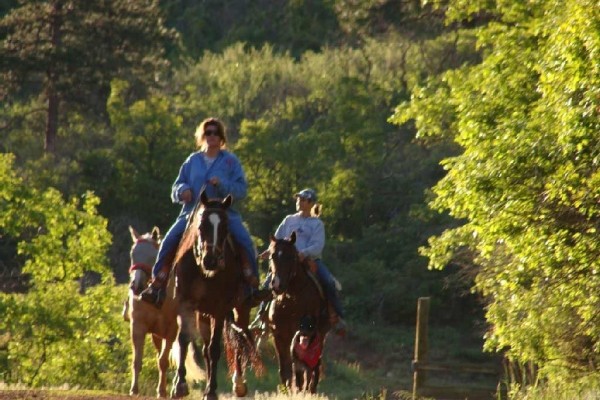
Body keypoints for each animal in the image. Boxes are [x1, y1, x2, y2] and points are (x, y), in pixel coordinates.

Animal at [123, 227, 204, 398]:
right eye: (132, 254)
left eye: (153, 256)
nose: (136, 285)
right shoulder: (137, 326)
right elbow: (137, 360)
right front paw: (134, 389)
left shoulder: (170, 330)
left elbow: (163, 361)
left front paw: (161, 391)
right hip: (156, 335)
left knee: (179, 354)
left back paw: (176, 388)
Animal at [170, 192, 262, 398]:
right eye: (201, 225)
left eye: (225, 227)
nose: (211, 260)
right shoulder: (185, 304)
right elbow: (184, 339)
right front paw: (180, 385)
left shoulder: (219, 309)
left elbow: (215, 349)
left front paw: (211, 390)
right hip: (203, 314)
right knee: (205, 348)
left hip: (239, 310)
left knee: (239, 340)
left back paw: (238, 383)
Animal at [264, 233, 330, 392]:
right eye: (272, 256)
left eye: (291, 256)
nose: (276, 285)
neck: (290, 299)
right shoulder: (279, 335)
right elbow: (285, 368)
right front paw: (286, 390)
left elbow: (303, 368)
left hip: (321, 335)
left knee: (315, 366)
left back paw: (311, 389)